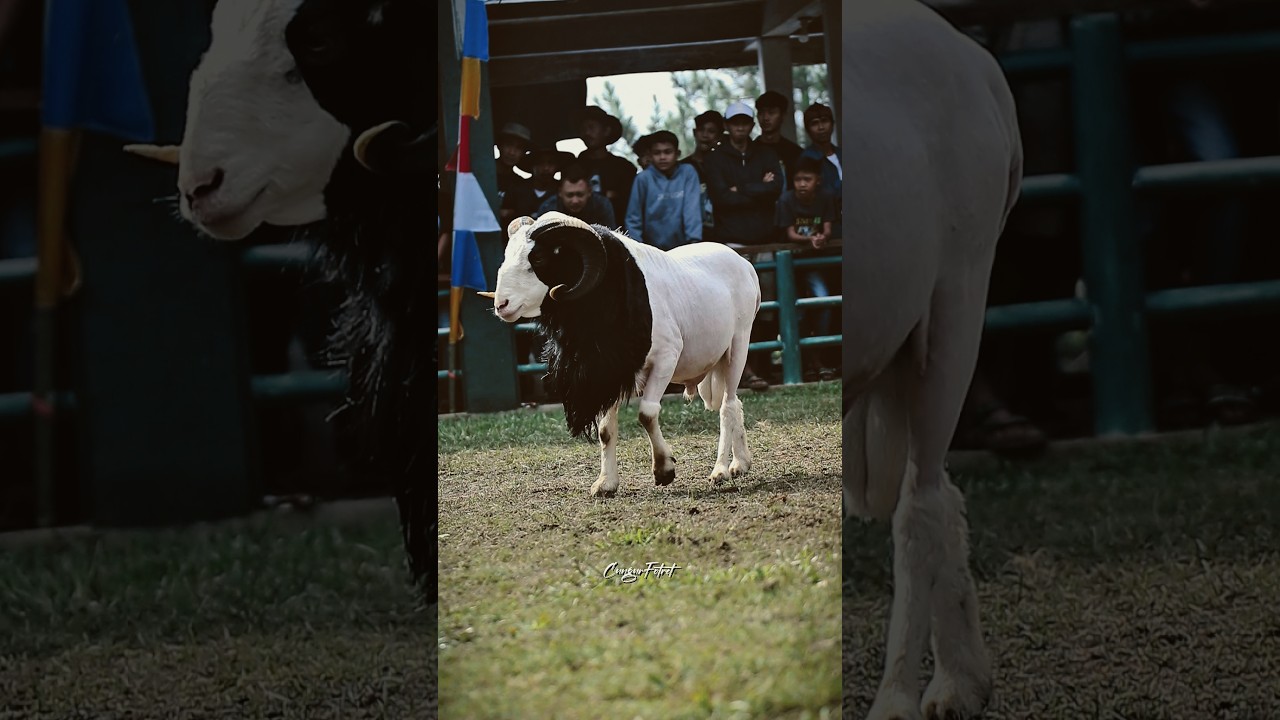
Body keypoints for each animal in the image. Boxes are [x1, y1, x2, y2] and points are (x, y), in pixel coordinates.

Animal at [488, 212, 760, 496]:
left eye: (538, 258)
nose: (501, 305)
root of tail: (744, 264)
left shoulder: (666, 358)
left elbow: (647, 414)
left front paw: (664, 470)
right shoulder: (610, 372)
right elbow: (606, 430)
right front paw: (606, 484)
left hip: (738, 345)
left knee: (727, 406)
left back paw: (720, 471)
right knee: (735, 403)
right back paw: (740, 464)